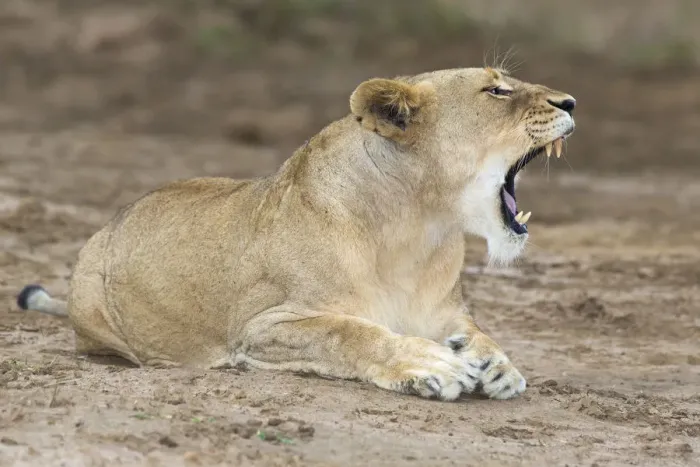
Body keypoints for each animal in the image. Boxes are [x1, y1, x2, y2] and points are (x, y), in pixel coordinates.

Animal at [17, 66, 575, 401]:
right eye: (496, 89)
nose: (571, 102)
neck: (420, 228)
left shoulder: (443, 309)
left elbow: (472, 328)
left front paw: (495, 362)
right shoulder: (259, 326)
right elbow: (349, 331)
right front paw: (433, 362)